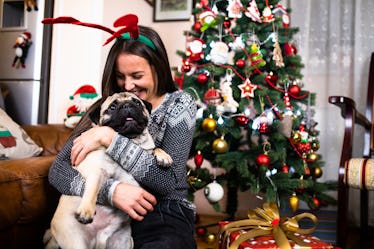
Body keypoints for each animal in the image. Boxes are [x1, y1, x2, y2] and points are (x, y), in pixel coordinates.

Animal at [44, 92, 173, 249]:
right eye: (112, 107)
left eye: (137, 103)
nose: (127, 105)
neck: (130, 139)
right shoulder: (97, 171)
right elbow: (92, 189)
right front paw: (86, 211)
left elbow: (154, 149)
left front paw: (164, 156)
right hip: (75, 241)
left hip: (123, 242)